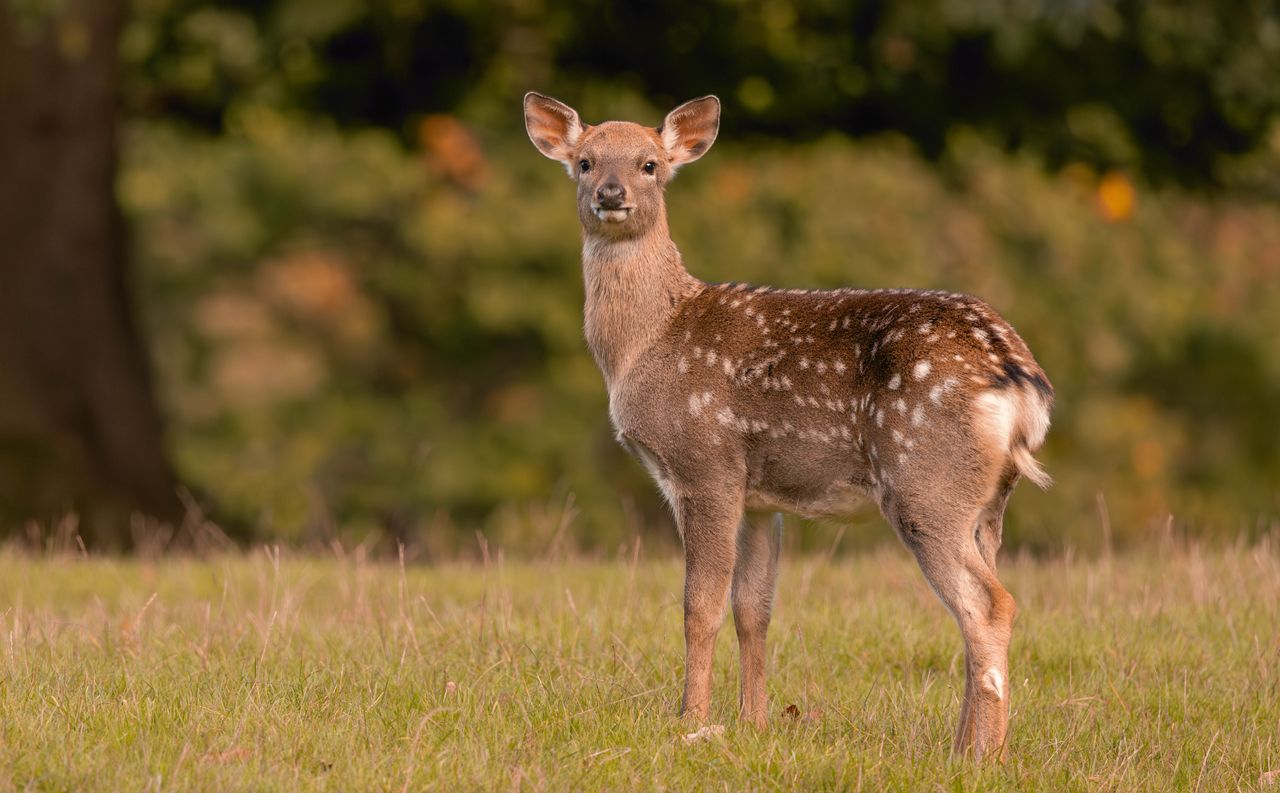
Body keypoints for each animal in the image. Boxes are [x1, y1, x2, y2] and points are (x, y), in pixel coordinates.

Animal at [523, 92, 1053, 761]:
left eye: (650, 165)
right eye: (586, 161)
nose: (611, 193)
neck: (644, 343)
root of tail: (1017, 375)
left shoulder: (704, 463)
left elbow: (699, 607)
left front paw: (691, 719)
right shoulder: (759, 497)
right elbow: (754, 608)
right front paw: (754, 722)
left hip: (925, 479)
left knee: (989, 605)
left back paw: (982, 758)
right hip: (987, 502)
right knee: (975, 606)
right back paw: (967, 747)